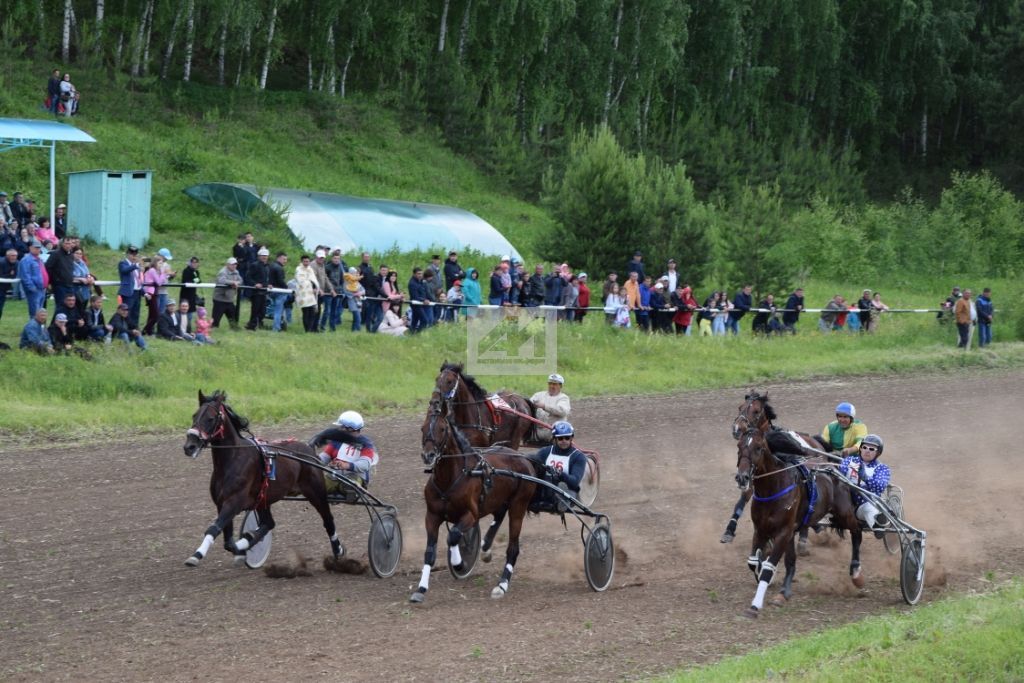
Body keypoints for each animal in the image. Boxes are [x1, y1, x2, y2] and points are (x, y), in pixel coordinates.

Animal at [182, 389, 342, 565]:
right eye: (194, 415)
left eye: (210, 418)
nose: (190, 446)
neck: (232, 459)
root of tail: (308, 448)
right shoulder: (221, 503)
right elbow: (228, 541)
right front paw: (242, 547)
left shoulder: (234, 501)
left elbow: (214, 530)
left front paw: (196, 555)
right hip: (263, 499)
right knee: (269, 523)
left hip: (316, 492)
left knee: (328, 520)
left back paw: (338, 550)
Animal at [413, 395, 540, 602]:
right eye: (423, 428)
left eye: (442, 428)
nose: (428, 455)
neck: (450, 479)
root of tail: (523, 458)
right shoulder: (431, 516)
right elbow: (430, 553)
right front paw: (421, 589)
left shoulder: (470, 515)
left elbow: (453, 535)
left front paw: (459, 564)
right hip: (500, 499)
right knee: (499, 515)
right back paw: (486, 548)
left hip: (519, 505)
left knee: (513, 548)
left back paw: (502, 585)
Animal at [737, 430, 864, 618]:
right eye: (739, 446)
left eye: (758, 448)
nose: (742, 477)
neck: (774, 487)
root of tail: (834, 466)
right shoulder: (761, 530)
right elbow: (754, 562)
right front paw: (769, 581)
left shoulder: (783, 532)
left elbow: (769, 566)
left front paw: (755, 605)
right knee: (791, 561)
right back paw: (784, 592)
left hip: (845, 513)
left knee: (857, 533)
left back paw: (856, 573)